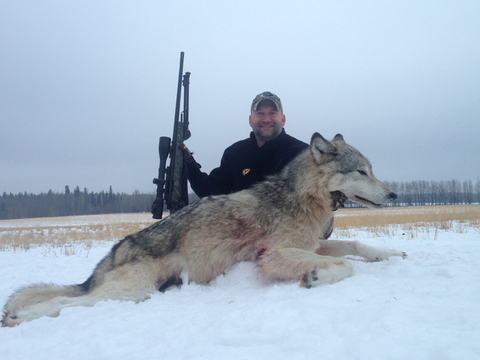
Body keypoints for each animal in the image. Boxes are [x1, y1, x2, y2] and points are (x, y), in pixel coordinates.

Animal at [1, 133, 404, 326]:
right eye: (361, 171)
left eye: (371, 170)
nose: (394, 194)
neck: (302, 197)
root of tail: (112, 254)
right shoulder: (276, 254)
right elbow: (345, 265)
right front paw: (316, 277)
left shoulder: (312, 244)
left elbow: (356, 245)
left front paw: (392, 252)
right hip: (132, 292)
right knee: (62, 302)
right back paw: (18, 318)